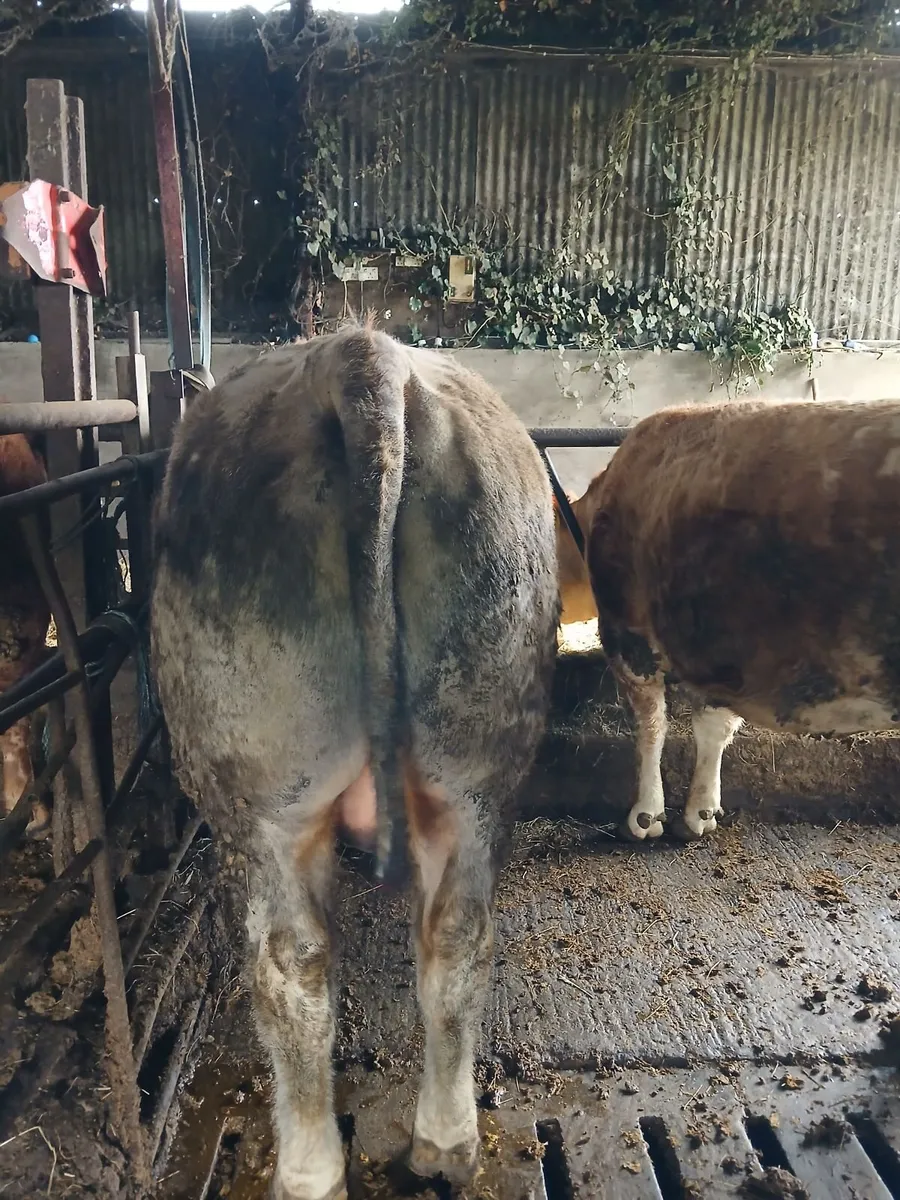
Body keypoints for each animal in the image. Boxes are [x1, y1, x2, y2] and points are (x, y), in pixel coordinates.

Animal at [150, 323, 560, 1200]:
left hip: (265, 801)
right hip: (478, 764)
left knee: (292, 965)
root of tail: (364, 352)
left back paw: (309, 1170)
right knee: (457, 938)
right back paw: (445, 1142)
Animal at [577, 398, 900, 842]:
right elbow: (714, 725)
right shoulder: (723, 648)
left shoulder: (628, 633)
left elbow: (650, 725)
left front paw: (646, 813)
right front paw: (701, 810)